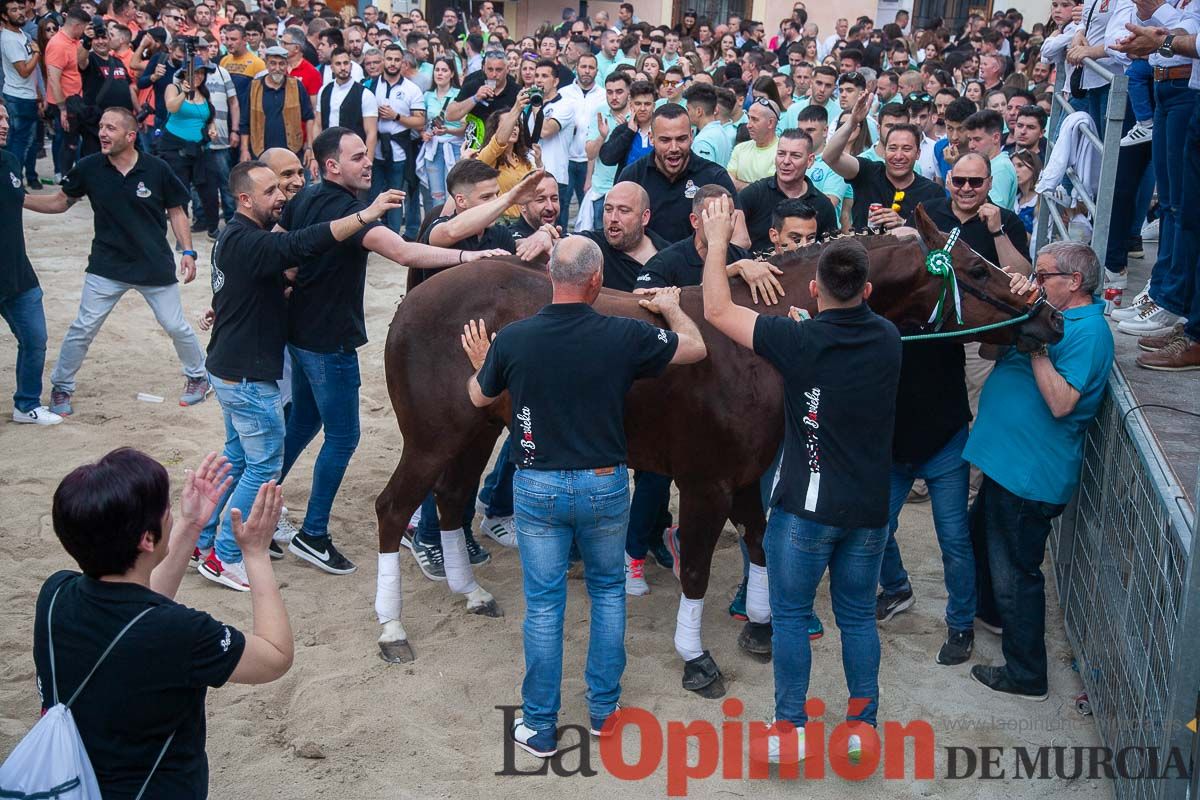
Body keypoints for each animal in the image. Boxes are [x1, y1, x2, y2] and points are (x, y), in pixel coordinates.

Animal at [372, 208, 1060, 700]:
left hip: (475, 432)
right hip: (433, 439)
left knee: (452, 498)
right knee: (393, 509)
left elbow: (759, 544)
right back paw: (392, 628)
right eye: (976, 271)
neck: (753, 337)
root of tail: (418, 299)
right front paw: (696, 659)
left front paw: (760, 625)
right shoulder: (706, 483)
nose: (1048, 317)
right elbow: (699, 570)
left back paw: (471, 593)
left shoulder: (750, 477)